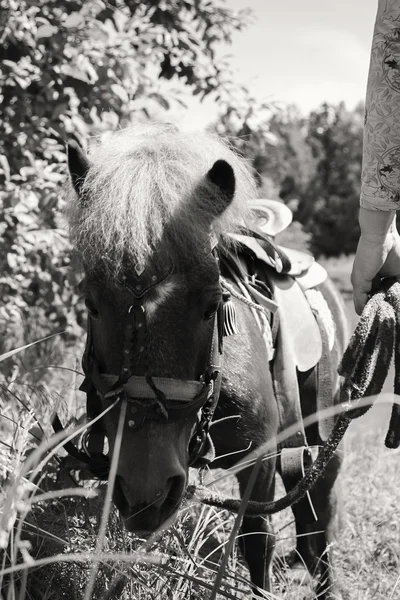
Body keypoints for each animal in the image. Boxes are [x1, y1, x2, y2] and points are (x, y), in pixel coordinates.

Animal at [65, 120, 346, 596]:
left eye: (212, 304)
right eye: (92, 304)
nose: (146, 491)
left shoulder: (260, 461)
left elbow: (257, 541)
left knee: (319, 512)